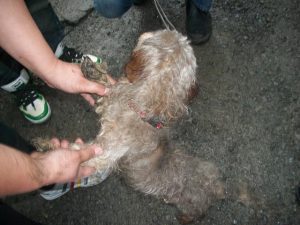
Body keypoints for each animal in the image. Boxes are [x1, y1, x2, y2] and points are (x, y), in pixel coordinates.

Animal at [35, 29, 225, 223]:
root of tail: (218, 189)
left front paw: (50, 151)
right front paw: (93, 71)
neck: (143, 107)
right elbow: (104, 89)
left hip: (192, 206)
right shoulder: (107, 103)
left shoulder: (107, 151)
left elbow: (80, 152)